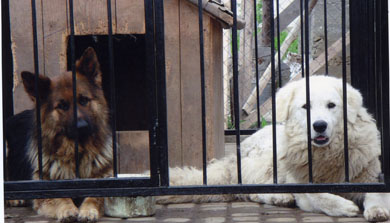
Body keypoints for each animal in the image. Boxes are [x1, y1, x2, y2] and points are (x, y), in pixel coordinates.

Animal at [159, 76, 390, 222]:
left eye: (332, 105)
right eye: (306, 107)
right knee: (253, 189)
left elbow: (377, 194)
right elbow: (315, 194)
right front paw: (343, 206)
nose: (319, 125)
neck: (327, 154)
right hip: (269, 158)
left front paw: (377, 209)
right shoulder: (301, 186)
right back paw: (280, 197)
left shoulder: (371, 175)